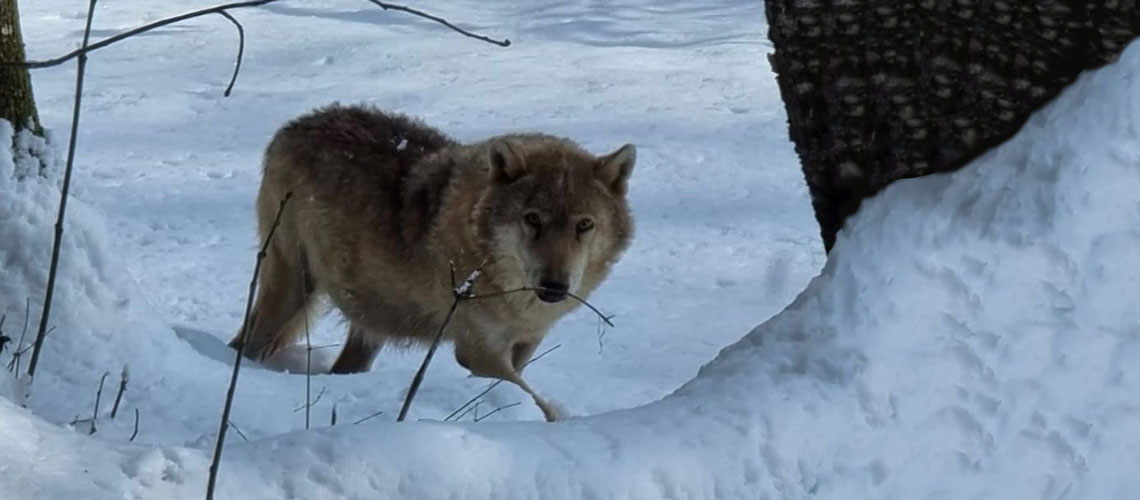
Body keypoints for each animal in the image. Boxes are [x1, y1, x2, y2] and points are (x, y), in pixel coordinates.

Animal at [228, 103, 636, 421]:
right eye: (533, 219)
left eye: (584, 225)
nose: (554, 288)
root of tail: (292, 126)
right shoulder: (477, 351)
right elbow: (541, 405)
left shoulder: (524, 344)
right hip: (292, 288)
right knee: (248, 344)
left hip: (368, 321)